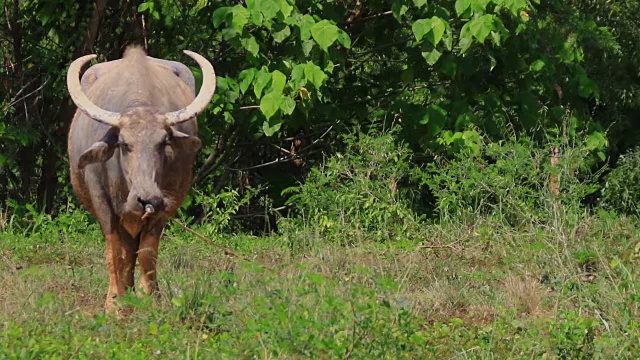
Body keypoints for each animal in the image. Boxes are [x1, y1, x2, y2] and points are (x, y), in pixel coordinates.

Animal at [67, 47, 216, 312]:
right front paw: (115, 306)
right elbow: (114, 252)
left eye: (163, 142)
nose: (146, 198)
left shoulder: (165, 204)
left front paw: (151, 300)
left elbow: (147, 253)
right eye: (124, 144)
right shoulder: (102, 202)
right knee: (124, 252)